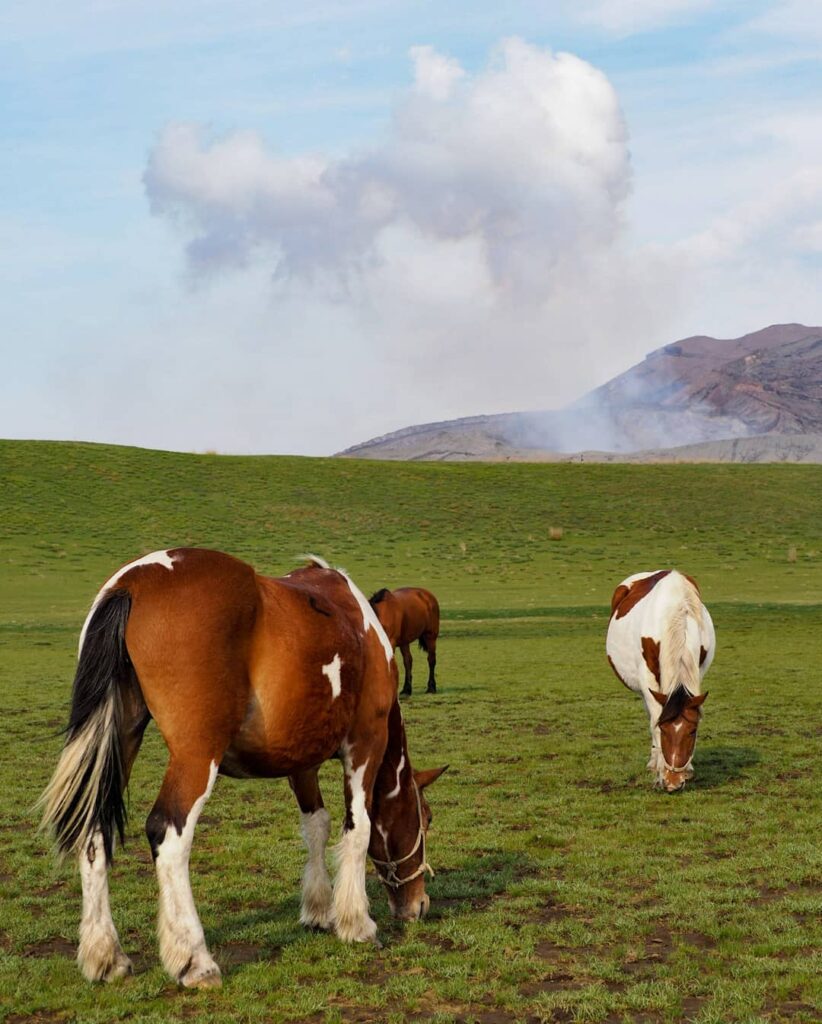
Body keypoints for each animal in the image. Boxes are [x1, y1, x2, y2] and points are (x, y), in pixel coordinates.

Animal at [39, 548, 446, 987]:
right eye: (426, 818)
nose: (420, 904)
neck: (361, 630)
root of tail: (131, 583)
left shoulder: (301, 759)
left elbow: (316, 826)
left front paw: (319, 909)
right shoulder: (365, 743)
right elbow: (358, 829)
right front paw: (357, 923)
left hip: (121, 737)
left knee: (95, 833)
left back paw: (105, 955)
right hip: (196, 757)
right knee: (168, 835)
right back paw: (195, 960)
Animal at [606, 569, 716, 790]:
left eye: (692, 731)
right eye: (664, 730)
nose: (673, 782)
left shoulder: (696, 673)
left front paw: (687, 769)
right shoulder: (648, 680)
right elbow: (655, 719)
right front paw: (659, 770)